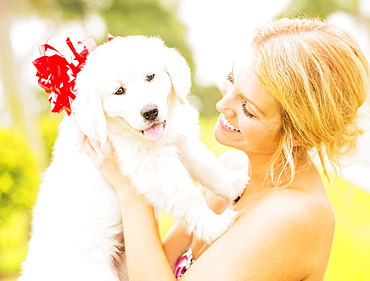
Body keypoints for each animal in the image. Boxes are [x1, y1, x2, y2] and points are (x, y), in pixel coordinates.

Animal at [18, 36, 247, 280]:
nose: (150, 112)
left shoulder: (180, 140)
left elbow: (206, 165)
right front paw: (215, 225)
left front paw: (234, 184)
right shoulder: (152, 165)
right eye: (119, 91)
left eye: (150, 77)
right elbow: (188, 194)